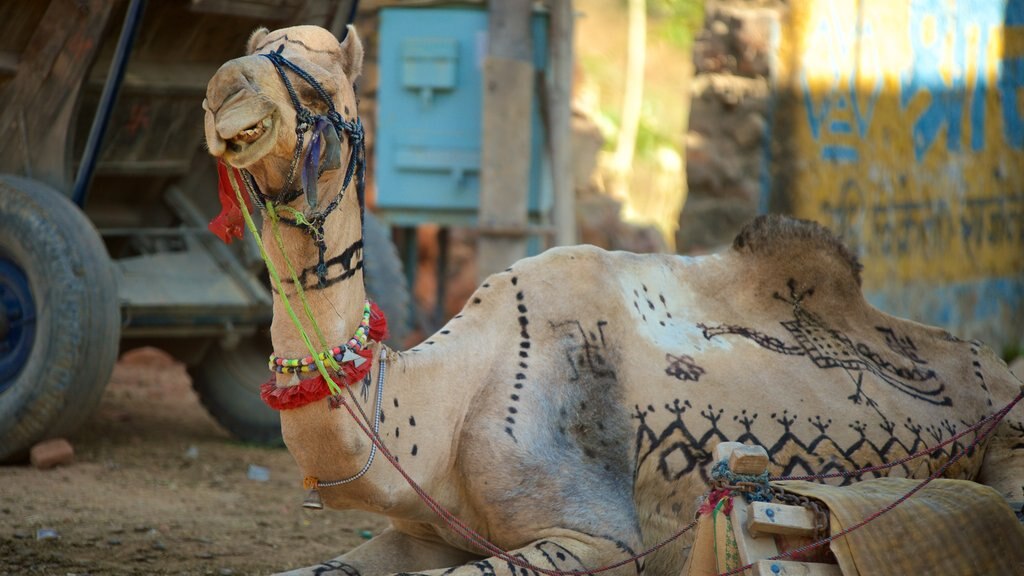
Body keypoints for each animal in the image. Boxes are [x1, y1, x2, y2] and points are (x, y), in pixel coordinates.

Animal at [205, 25, 1024, 573]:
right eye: (260, 52)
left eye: (317, 83)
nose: (223, 89)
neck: (438, 411)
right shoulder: (424, 530)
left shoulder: (598, 539)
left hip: (1006, 436)